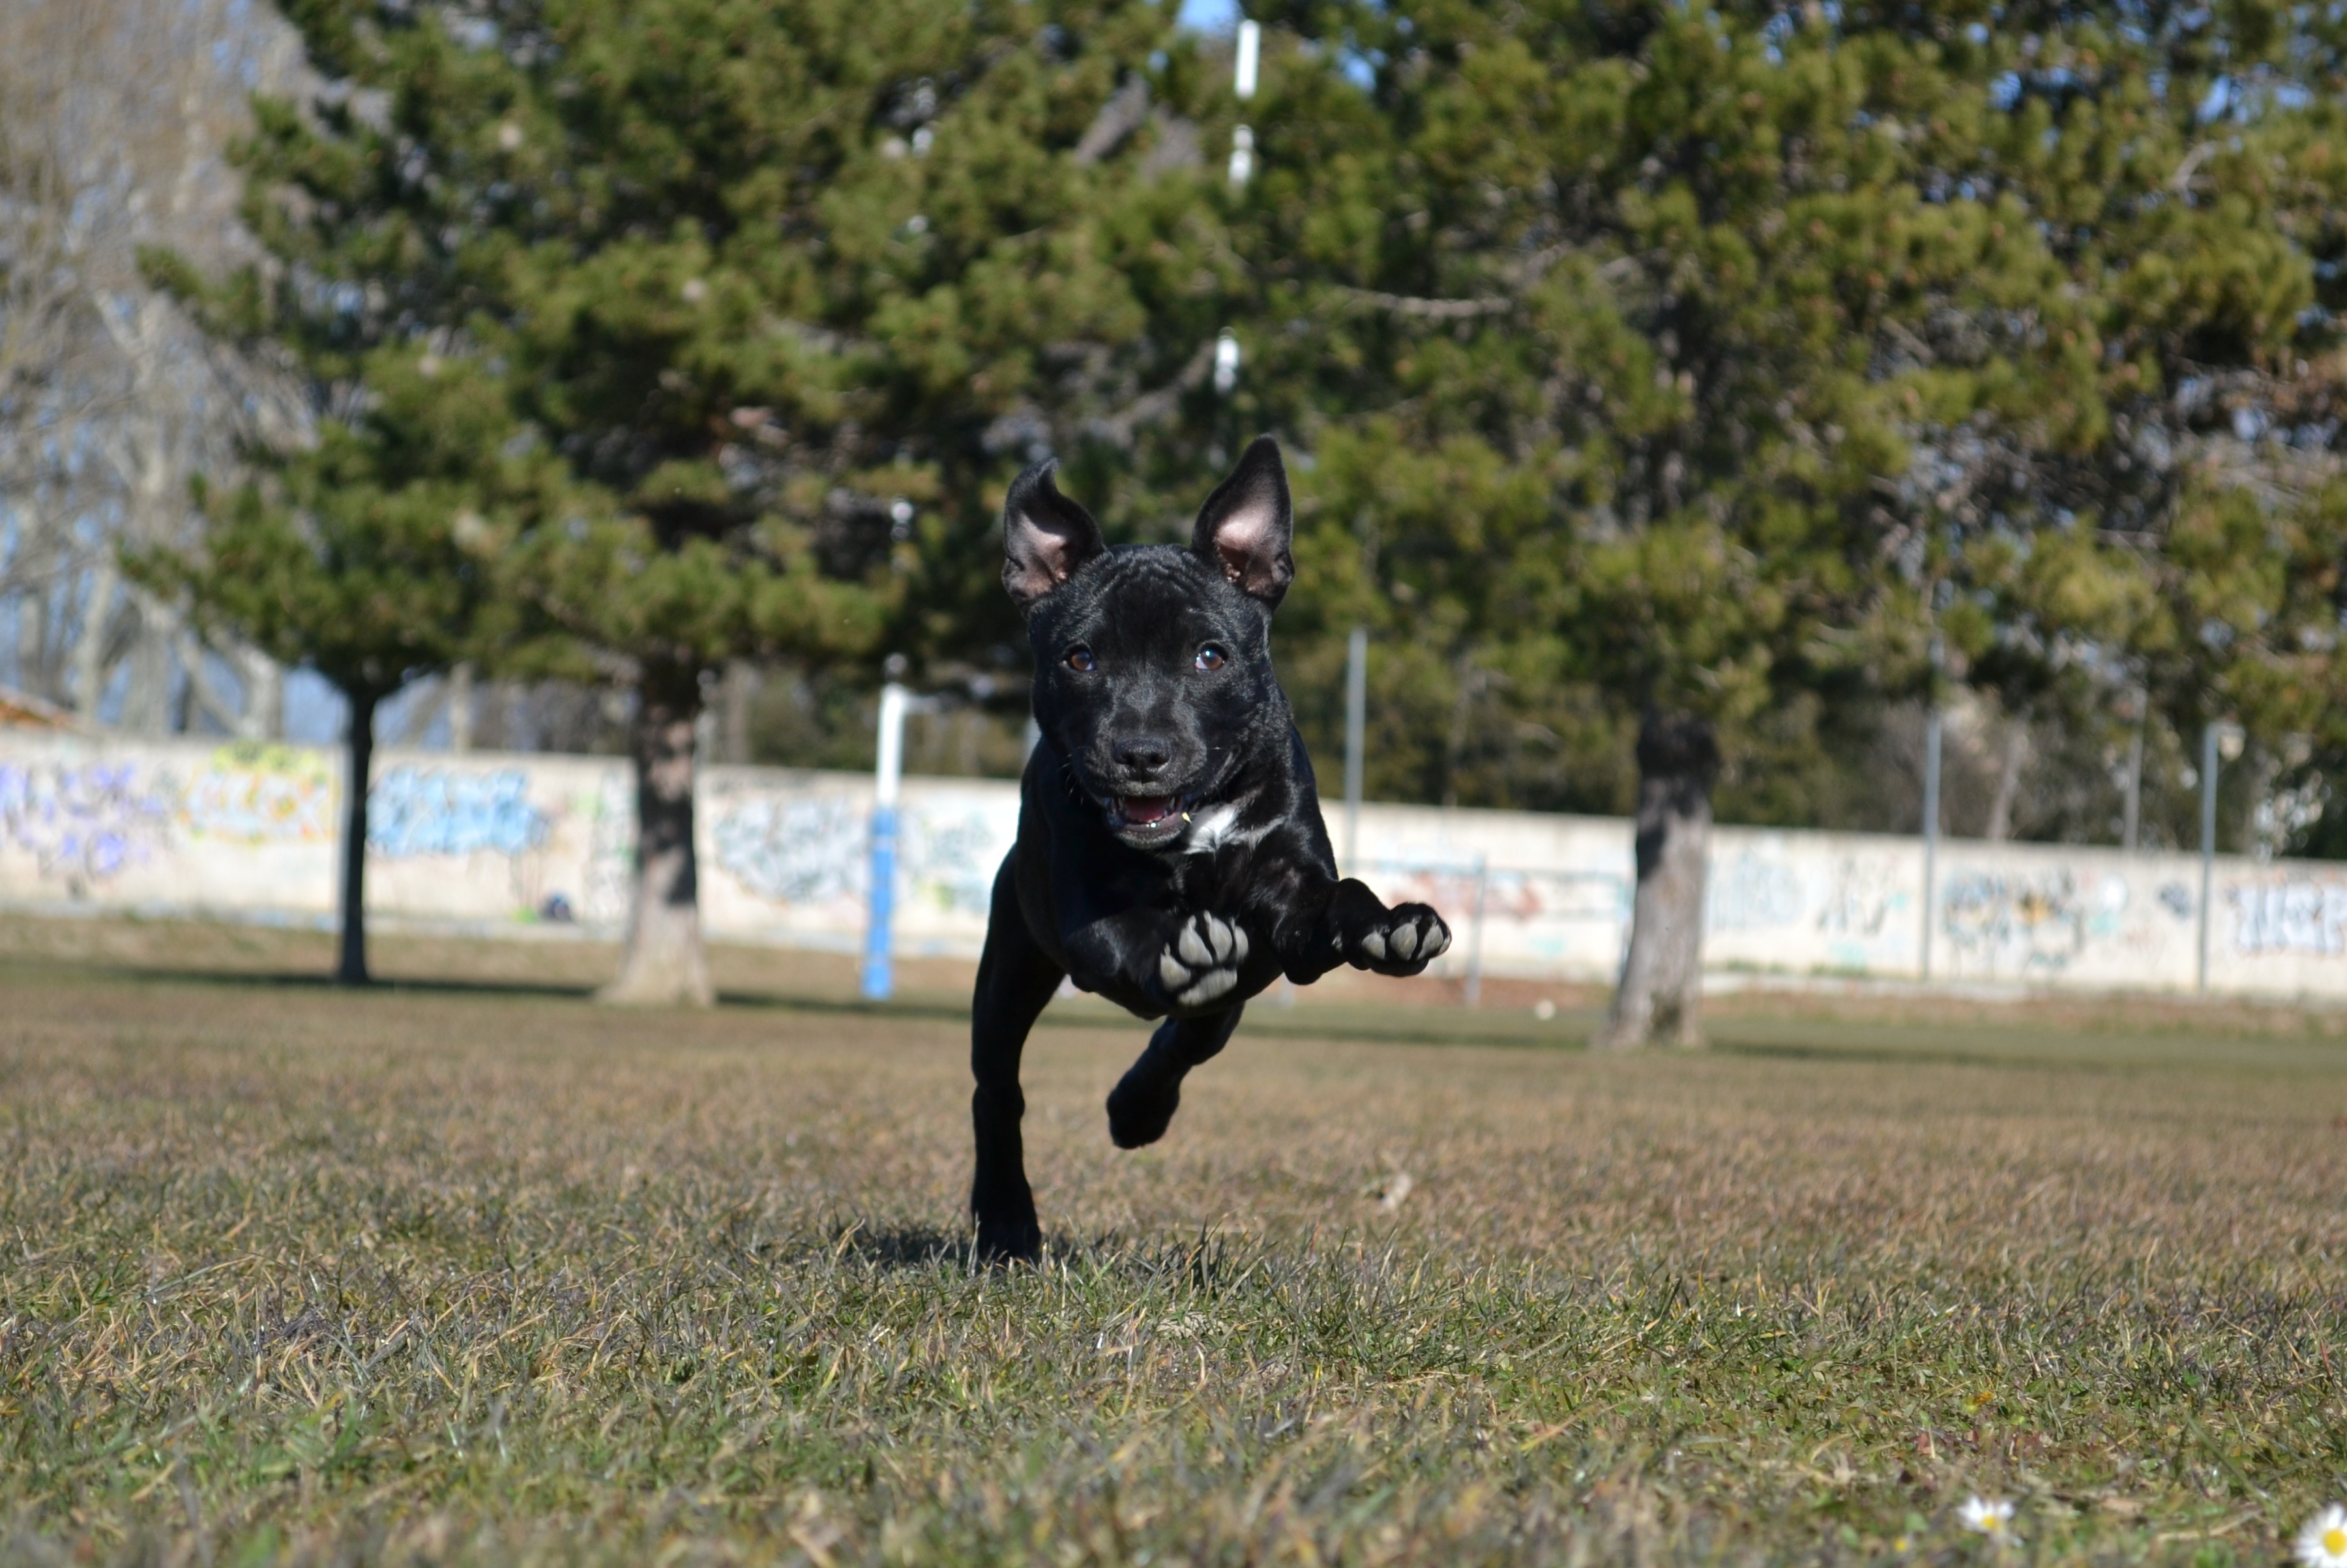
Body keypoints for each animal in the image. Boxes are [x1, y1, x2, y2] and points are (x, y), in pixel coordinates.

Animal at [967, 432, 1445, 1258]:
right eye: (1080, 658)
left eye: (1211, 656)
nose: (1141, 751)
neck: (1194, 825)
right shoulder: (1081, 918)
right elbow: (1126, 932)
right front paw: (1177, 945)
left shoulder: (1288, 898)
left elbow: (1336, 897)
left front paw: (1390, 926)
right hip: (1009, 972)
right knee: (998, 1092)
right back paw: (1005, 1219)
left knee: (1190, 1036)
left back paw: (1137, 1108)